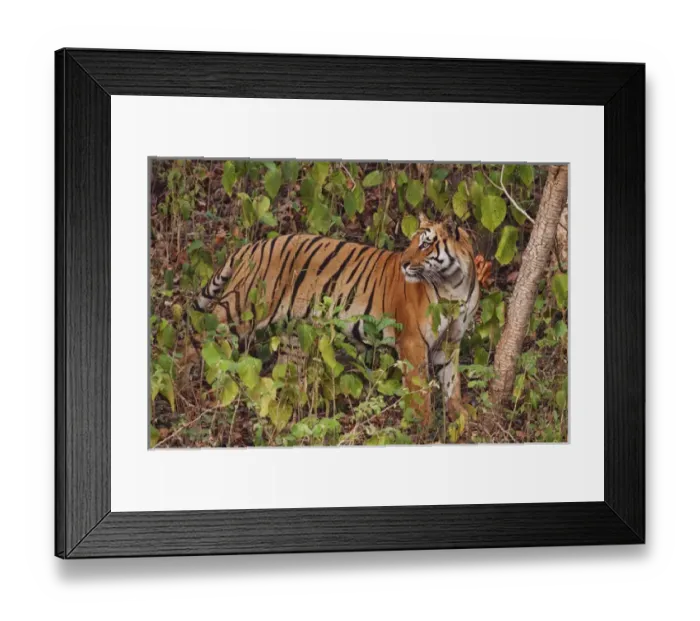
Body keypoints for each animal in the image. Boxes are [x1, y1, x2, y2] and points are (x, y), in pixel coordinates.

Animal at [195, 214, 480, 424]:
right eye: (411, 243)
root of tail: (253, 246)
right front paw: (422, 428)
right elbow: (420, 392)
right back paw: (209, 378)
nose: (404, 263)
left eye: (425, 244)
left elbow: (451, 382)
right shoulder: (412, 341)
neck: (453, 285)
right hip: (246, 306)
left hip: (292, 335)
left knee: (287, 374)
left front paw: (460, 418)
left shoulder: (449, 342)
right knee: (209, 329)